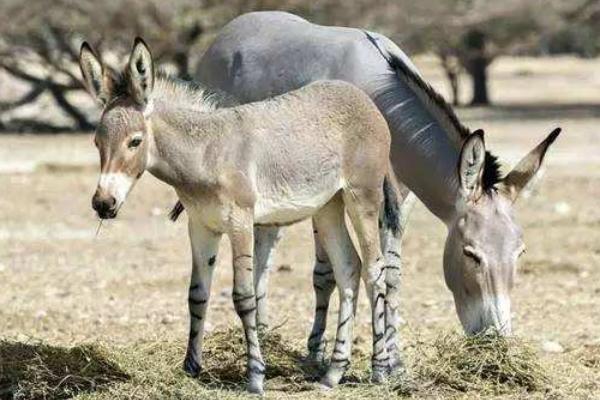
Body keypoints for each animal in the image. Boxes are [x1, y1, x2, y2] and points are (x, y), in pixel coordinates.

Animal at [81, 38, 394, 394]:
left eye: (135, 141)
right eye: (97, 142)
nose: (103, 204)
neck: (207, 153)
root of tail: (360, 97)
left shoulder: (241, 223)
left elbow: (244, 297)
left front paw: (255, 376)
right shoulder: (201, 226)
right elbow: (196, 295)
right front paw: (191, 368)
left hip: (362, 198)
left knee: (374, 269)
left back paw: (380, 369)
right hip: (329, 205)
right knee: (348, 268)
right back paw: (334, 372)